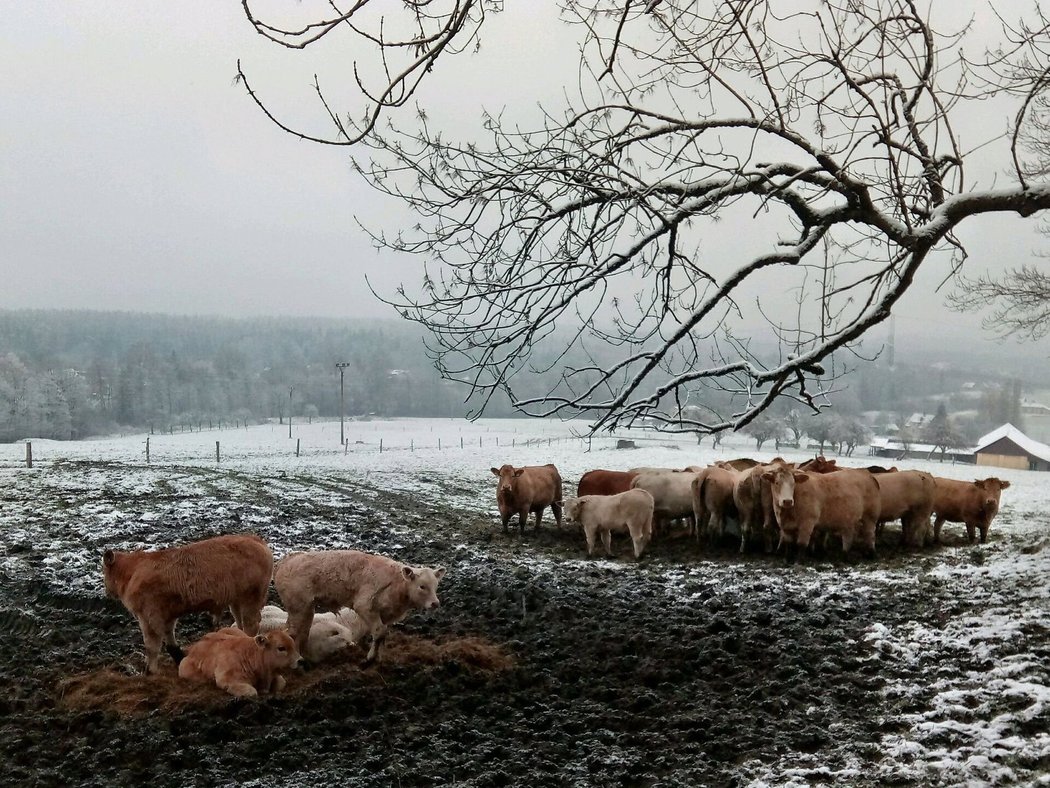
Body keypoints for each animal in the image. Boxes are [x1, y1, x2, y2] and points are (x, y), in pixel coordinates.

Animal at [100, 533, 273, 676]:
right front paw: (178, 657)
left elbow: (152, 645)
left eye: (104, 571)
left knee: (251, 625)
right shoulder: (167, 616)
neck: (133, 571)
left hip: (251, 598)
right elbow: (169, 639)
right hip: (236, 601)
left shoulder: (149, 616)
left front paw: (150, 670)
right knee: (240, 623)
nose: (107, 591)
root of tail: (255, 539)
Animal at [275, 550, 443, 668]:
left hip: (305, 609)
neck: (397, 584)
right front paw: (369, 658)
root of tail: (287, 561)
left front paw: (380, 658)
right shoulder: (364, 606)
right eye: (422, 586)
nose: (435, 603)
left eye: (436, 585)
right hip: (299, 607)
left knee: (301, 632)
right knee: (294, 632)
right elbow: (379, 631)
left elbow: (383, 635)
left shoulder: (385, 614)